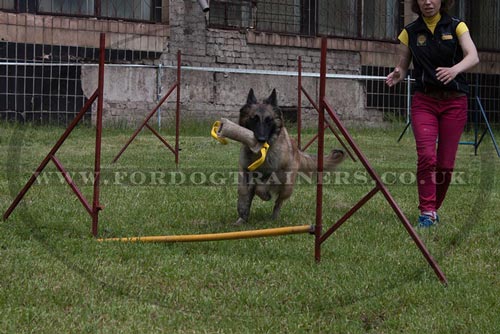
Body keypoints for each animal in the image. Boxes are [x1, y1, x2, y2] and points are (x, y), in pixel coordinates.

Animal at [236, 88, 346, 224]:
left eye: (269, 120)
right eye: (254, 119)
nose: (261, 139)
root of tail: (297, 151)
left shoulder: (277, 172)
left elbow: (261, 188)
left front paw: (265, 196)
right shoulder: (244, 170)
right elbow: (243, 190)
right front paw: (242, 212)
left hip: (287, 187)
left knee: (278, 201)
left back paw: (274, 217)